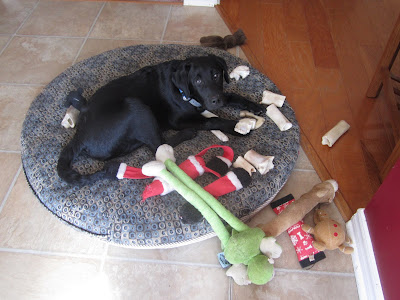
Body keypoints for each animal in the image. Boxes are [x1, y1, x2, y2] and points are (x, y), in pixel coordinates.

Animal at [56, 54, 262, 184]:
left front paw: (254, 106)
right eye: (197, 81)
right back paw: (188, 133)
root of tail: (79, 136)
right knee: (158, 146)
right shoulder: (177, 120)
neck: (183, 92)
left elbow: (233, 96)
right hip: (135, 106)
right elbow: (212, 120)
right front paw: (236, 126)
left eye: (216, 75)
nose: (216, 100)